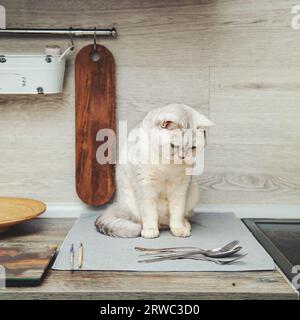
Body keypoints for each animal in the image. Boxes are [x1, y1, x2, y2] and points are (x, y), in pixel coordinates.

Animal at [95, 104, 214, 239]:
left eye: (193, 148)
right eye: (173, 146)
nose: (182, 157)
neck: (167, 164)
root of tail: (118, 205)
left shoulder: (180, 188)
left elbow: (177, 212)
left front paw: (178, 229)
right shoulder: (146, 186)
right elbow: (149, 213)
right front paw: (150, 230)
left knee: (176, 218)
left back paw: (184, 225)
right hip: (130, 203)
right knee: (140, 219)